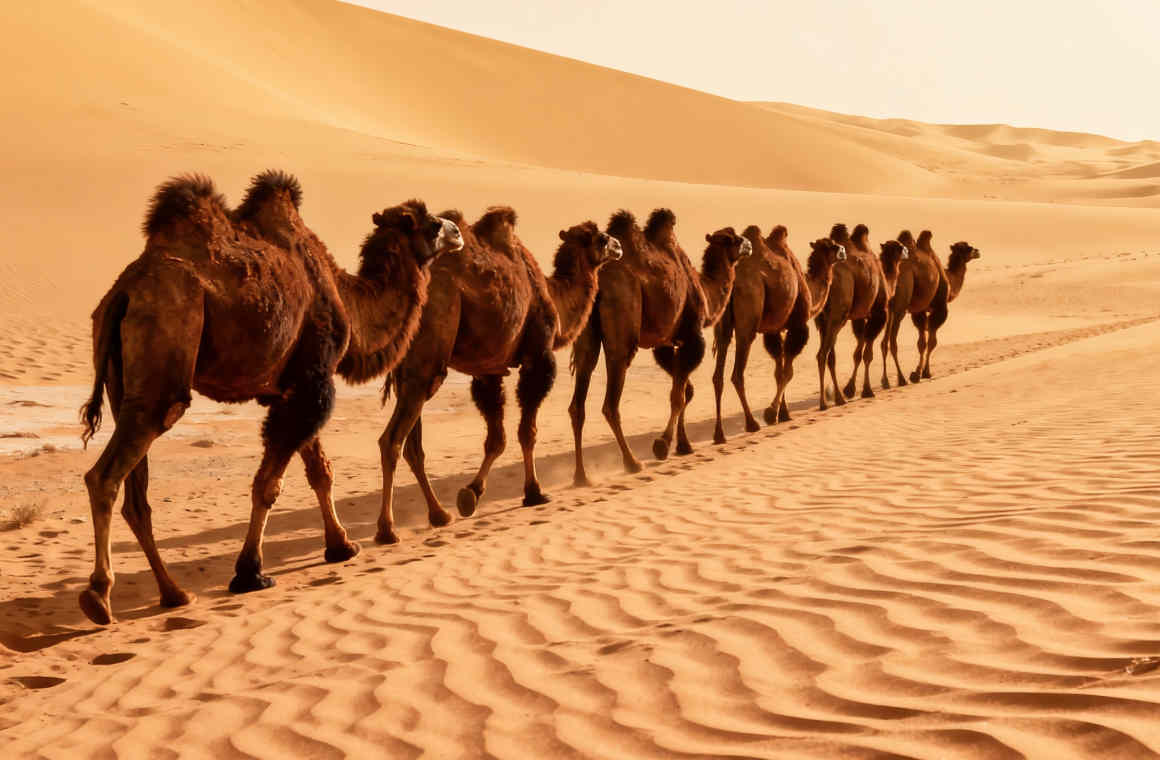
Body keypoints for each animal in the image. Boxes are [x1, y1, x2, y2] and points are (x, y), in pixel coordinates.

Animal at [77, 171, 461, 624]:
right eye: (431, 224)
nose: (457, 231)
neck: (346, 299)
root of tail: (124, 292)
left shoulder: (293, 386)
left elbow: (320, 471)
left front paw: (342, 545)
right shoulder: (315, 379)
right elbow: (269, 485)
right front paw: (250, 573)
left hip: (125, 386)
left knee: (137, 497)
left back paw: (174, 593)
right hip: (164, 355)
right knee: (105, 476)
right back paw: (98, 597)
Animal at [374, 209, 622, 545]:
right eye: (601, 238)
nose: (619, 245)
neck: (553, 297)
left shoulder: (488, 371)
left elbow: (496, 439)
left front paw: (470, 494)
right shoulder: (538, 357)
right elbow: (526, 432)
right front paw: (534, 492)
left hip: (409, 370)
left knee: (413, 445)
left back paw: (439, 514)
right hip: (428, 355)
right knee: (392, 440)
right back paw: (387, 530)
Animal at [569, 209, 751, 486]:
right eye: (733, 238)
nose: (749, 244)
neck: (703, 289)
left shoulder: (664, 343)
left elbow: (686, 390)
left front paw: (684, 445)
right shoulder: (692, 336)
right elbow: (678, 395)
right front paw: (663, 445)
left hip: (586, 332)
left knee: (579, 398)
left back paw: (581, 476)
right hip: (623, 324)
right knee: (611, 402)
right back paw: (632, 462)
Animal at [711, 227, 845, 443]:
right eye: (832, 245)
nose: (843, 250)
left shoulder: (774, 330)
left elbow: (778, 371)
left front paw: (783, 413)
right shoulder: (798, 325)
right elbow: (787, 371)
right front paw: (771, 413)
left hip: (723, 326)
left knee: (718, 376)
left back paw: (719, 434)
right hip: (748, 320)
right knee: (737, 374)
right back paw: (752, 424)